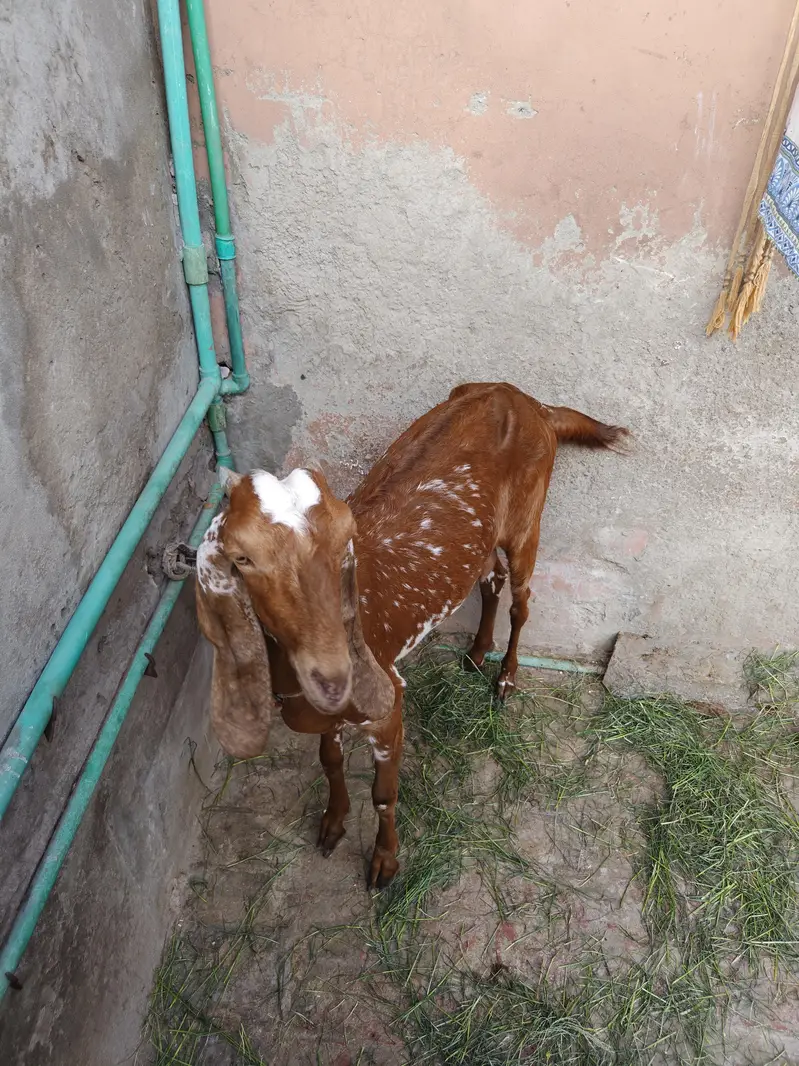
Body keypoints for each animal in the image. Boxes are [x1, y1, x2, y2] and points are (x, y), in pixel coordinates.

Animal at [196, 382, 628, 888]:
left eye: (345, 538)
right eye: (242, 557)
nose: (332, 670)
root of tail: (527, 399)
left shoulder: (388, 704)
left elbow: (383, 794)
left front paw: (385, 863)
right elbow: (329, 761)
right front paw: (332, 823)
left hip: (527, 521)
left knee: (521, 600)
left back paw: (505, 677)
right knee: (490, 578)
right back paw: (476, 653)